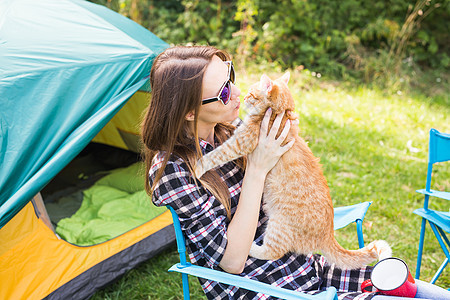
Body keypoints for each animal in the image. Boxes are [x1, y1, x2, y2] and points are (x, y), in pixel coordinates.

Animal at [195, 72, 392, 270]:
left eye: (250, 93)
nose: (242, 98)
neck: (279, 114)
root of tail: (329, 235)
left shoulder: (241, 142)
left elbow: (217, 154)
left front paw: (198, 166)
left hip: (278, 225)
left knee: (273, 251)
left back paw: (252, 248)